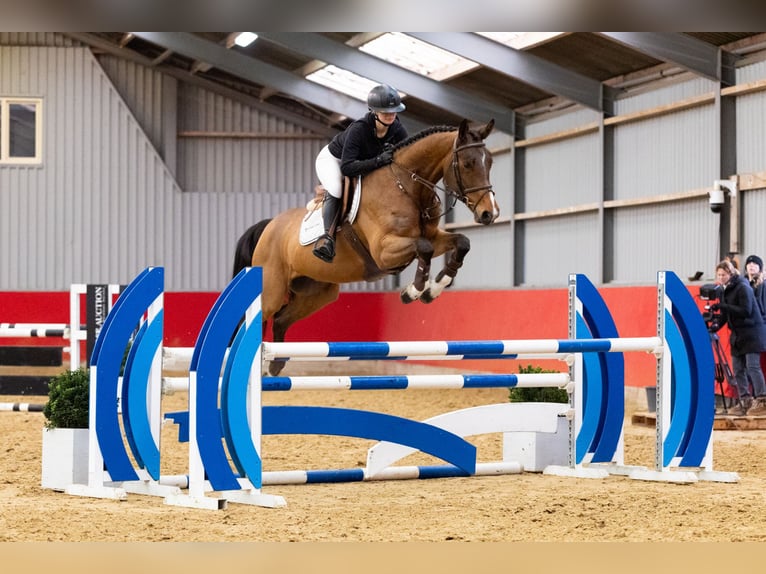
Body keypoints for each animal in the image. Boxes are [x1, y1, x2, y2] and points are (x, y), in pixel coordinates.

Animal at [232, 119, 499, 375]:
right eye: (468, 164)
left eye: (490, 162)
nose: (490, 213)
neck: (406, 187)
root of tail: (268, 226)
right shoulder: (384, 252)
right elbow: (424, 248)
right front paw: (413, 291)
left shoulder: (434, 237)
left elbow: (461, 242)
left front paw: (435, 288)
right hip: (272, 290)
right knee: (257, 321)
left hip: (317, 292)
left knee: (280, 320)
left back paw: (275, 366)